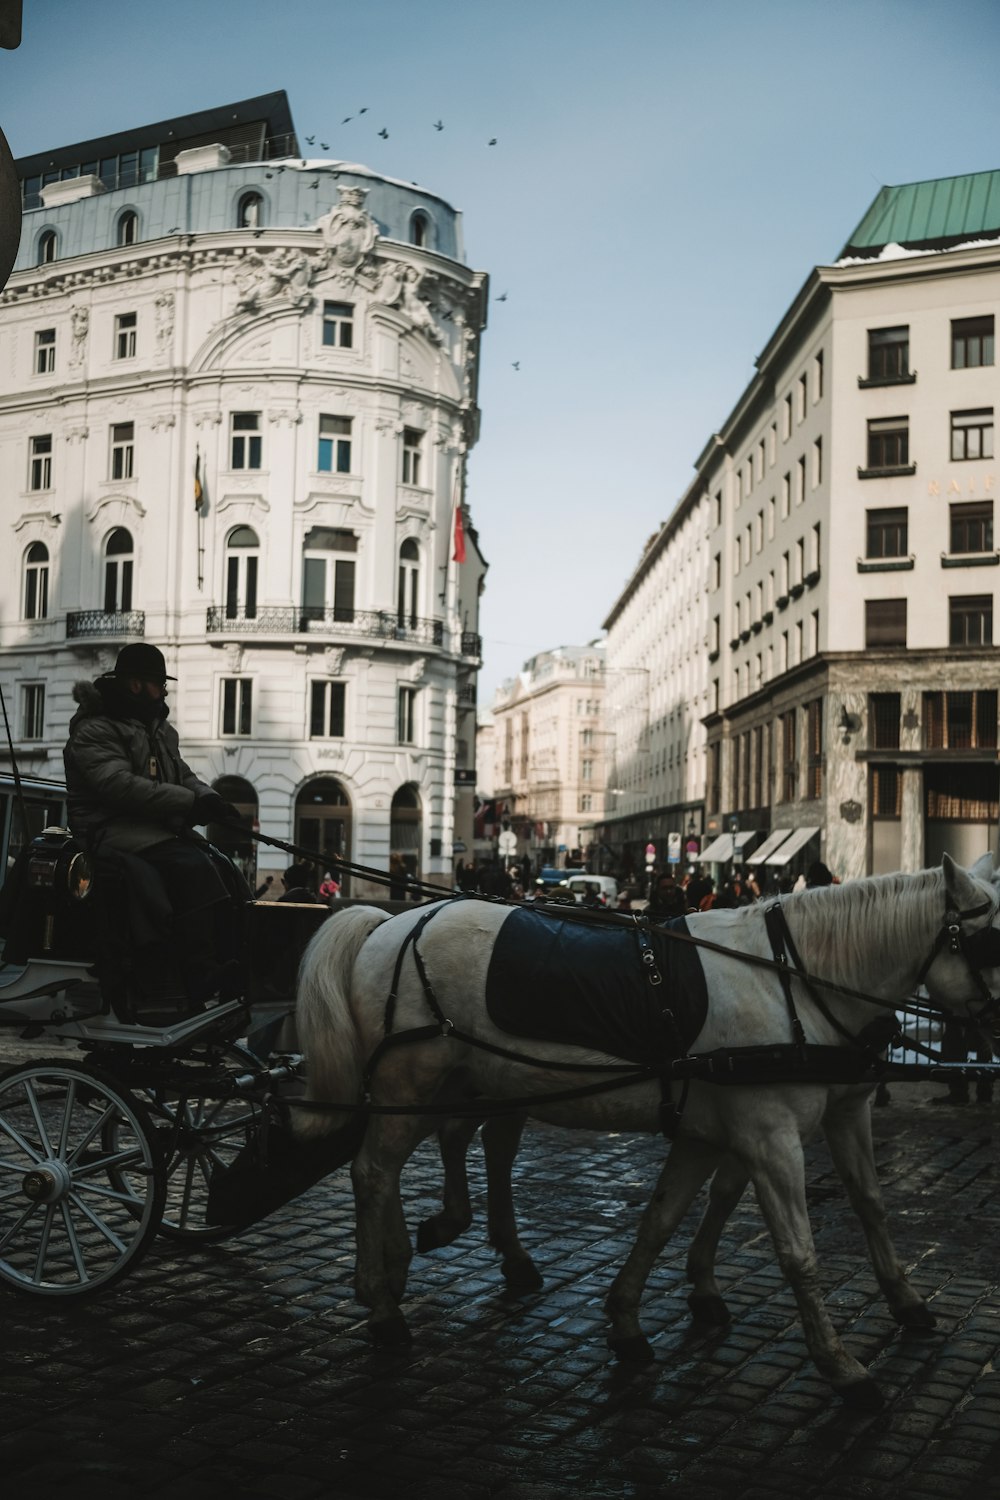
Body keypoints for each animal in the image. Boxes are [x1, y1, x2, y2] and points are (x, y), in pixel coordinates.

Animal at [293, 858, 1000, 1404]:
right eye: (991, 939)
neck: (790, 982)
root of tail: (392, 921)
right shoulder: (769, 1134)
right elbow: (797, 1251)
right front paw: (840, 1363)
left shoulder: (766, 1123)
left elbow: (677, 1216)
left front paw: (631, 1318)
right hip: (410, 1087)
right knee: (373, 1171)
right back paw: (382, 1300)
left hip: (467, 1083)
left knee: (438, 1154)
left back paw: (416, 1258)